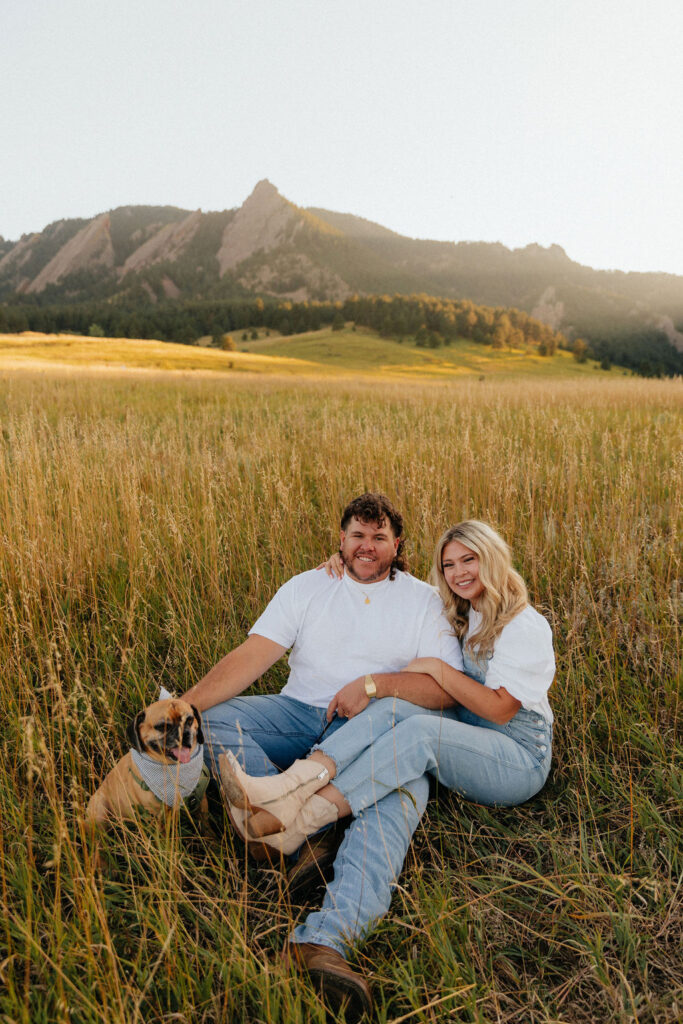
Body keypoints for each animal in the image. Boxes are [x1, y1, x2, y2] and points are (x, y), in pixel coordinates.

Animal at [87, 700, 210, 835]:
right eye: (162, 726)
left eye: (190, 720)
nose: (185, 733)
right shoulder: (158, 820)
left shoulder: (202, 803)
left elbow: (206, 827)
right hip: (99, 812)